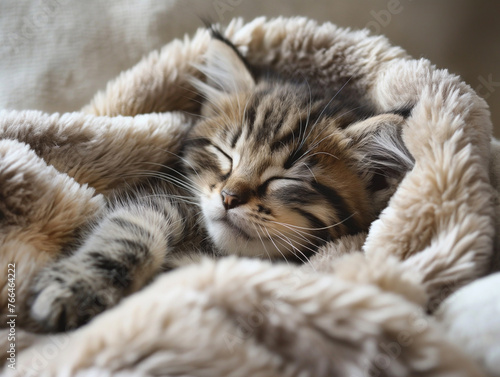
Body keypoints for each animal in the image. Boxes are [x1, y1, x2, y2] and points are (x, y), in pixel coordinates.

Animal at [28, 33, 414, 330]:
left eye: (284, 178)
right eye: (225, 155)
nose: (229, 197)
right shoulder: (161, 194)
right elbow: (130, 228)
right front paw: (77, 285)